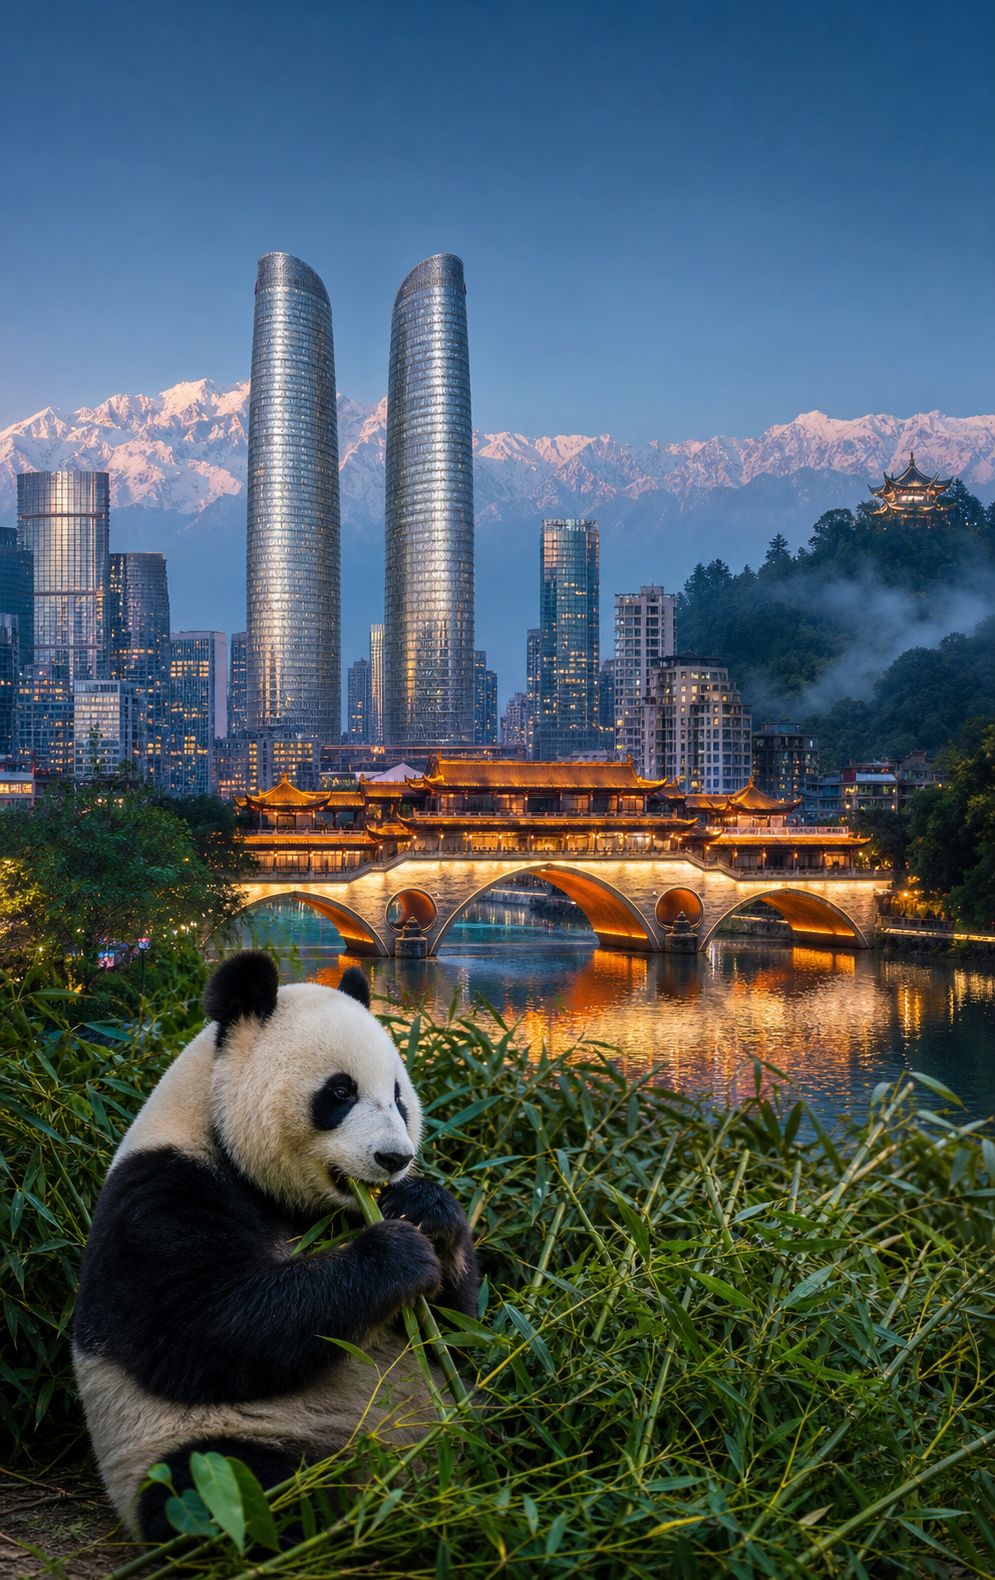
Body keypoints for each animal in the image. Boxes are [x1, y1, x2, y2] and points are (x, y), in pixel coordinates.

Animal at [73, 949, 479, 1543]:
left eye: (399, 1098)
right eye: (340, 1092)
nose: (394, 1158)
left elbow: (458, 1333)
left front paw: (426, 1209)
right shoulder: (159, 1193)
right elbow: (201, 1323)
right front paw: (396, 1256)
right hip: (203, 1443)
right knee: (229, 1492)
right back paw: (376, 1513)